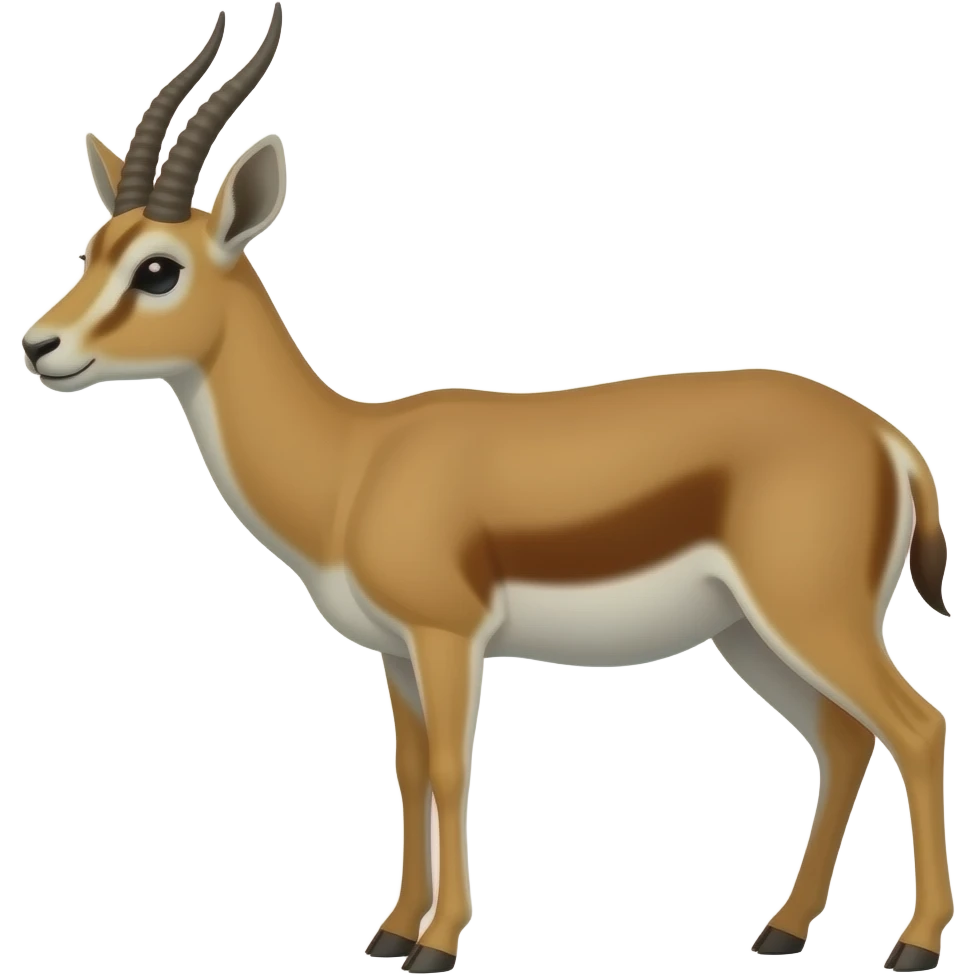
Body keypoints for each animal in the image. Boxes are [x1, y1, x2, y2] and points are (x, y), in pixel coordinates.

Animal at [19, 6, 955, 974]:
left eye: (157, 269)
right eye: (93, 248)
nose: (39, 346)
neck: (354, 462)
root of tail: (888, 438)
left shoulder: (448, 636)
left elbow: (448, 768)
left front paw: (437, 943)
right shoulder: (392, 651)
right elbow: (406, 770)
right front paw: (392, 930)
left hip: (811, 615)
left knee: (917, 727)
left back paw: (913, 943)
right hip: (751, 634)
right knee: (844, 740)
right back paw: (782, 928)